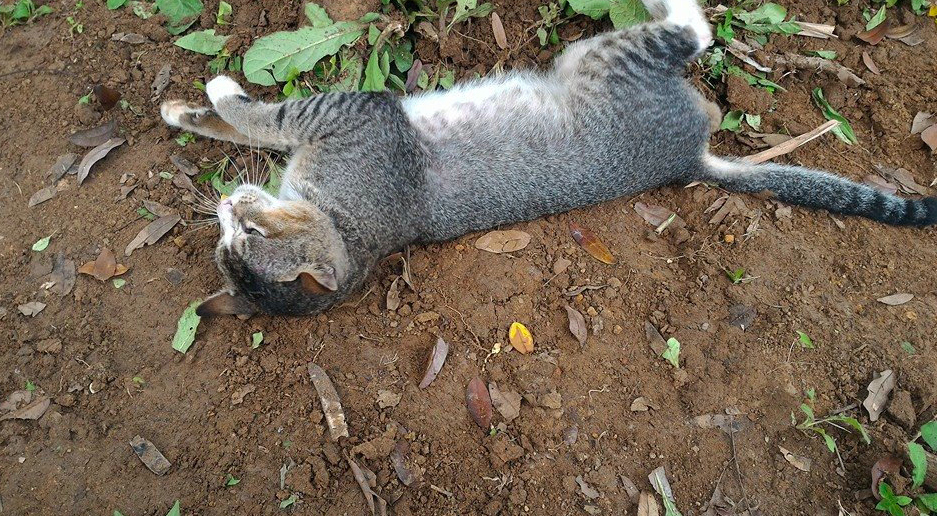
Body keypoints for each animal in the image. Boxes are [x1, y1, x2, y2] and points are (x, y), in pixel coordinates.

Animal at [161, 0, 936, 318]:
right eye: (227, 244)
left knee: (696, 28)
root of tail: (687, 159)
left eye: (248, 233)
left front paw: (210, 98)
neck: (349, 222)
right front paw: (190, 112)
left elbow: (263, 118)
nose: (226, 206)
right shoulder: (344, 128)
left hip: (607, 57)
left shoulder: (356, 115)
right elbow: (254, 128)